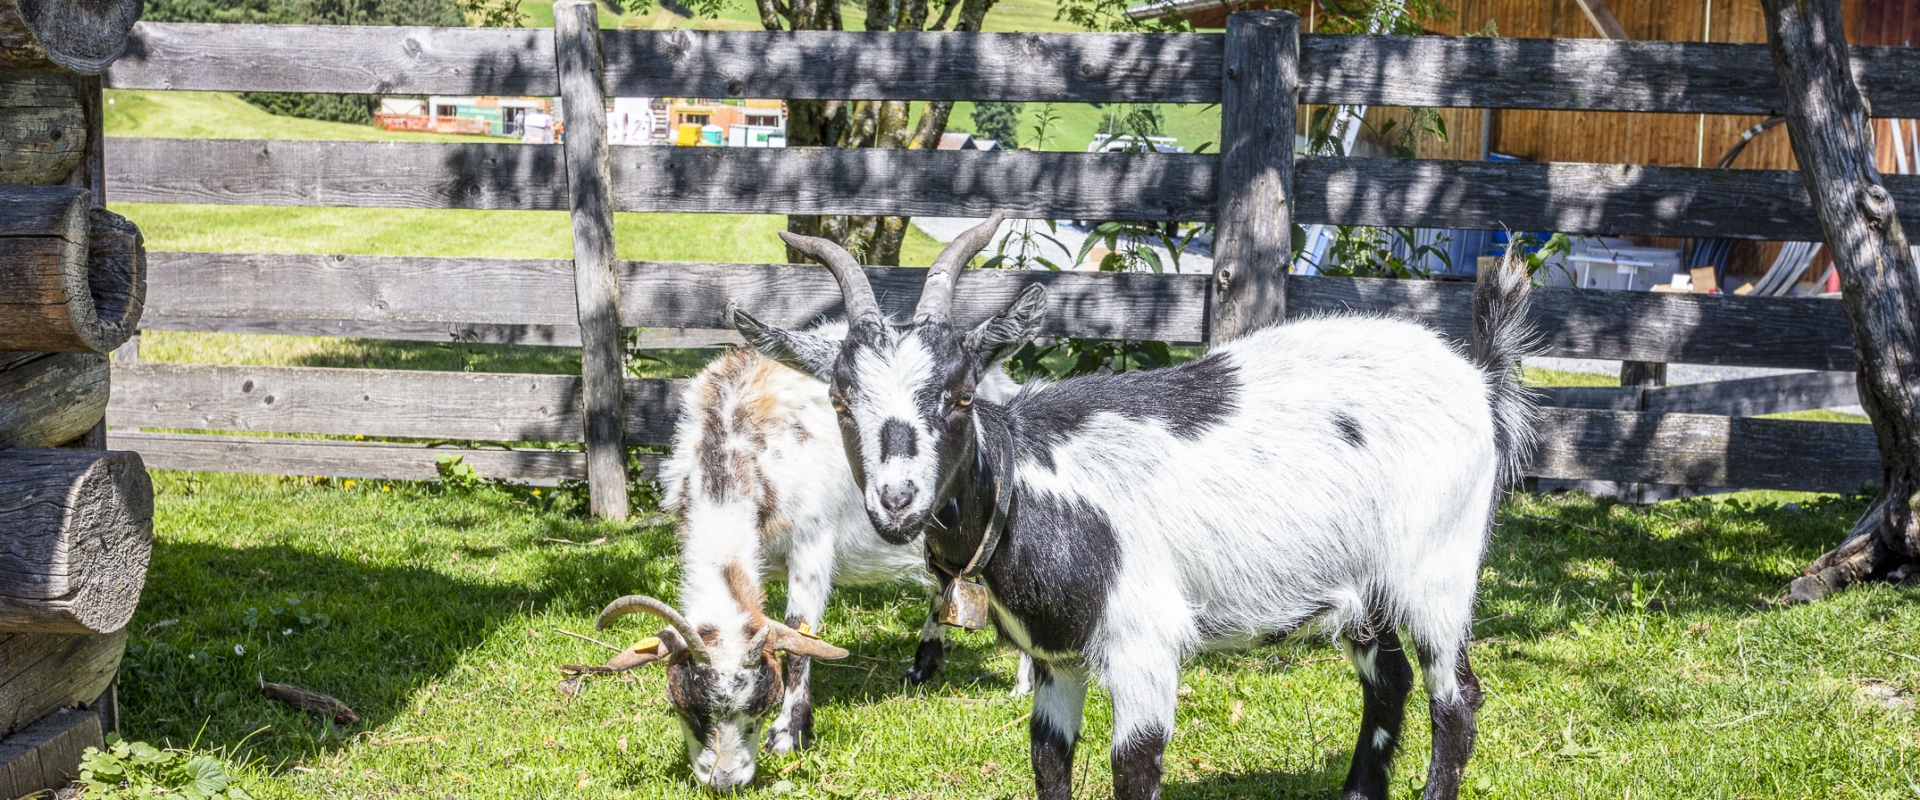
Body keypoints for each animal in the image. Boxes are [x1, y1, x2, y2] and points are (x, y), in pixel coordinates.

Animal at [572, 314, 1036, 790]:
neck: (737, 433)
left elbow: (799, 632)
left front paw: (789, 734)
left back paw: (1022, 684)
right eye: (685, 705)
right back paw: (922, 667)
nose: (726, 781)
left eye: (760, 706)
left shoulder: (813, 541)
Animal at [725, 216, 1536, 798]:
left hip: (1436, 569)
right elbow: (1049, 764)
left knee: (1456, 700)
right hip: (1363, 588)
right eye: (839, 401)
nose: (897, 501)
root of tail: (1479, 376)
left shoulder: (1145, 648)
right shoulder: (1056, 661)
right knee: (1389, 684)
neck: (1032, 488)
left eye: (959, 397)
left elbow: (1133, 771)